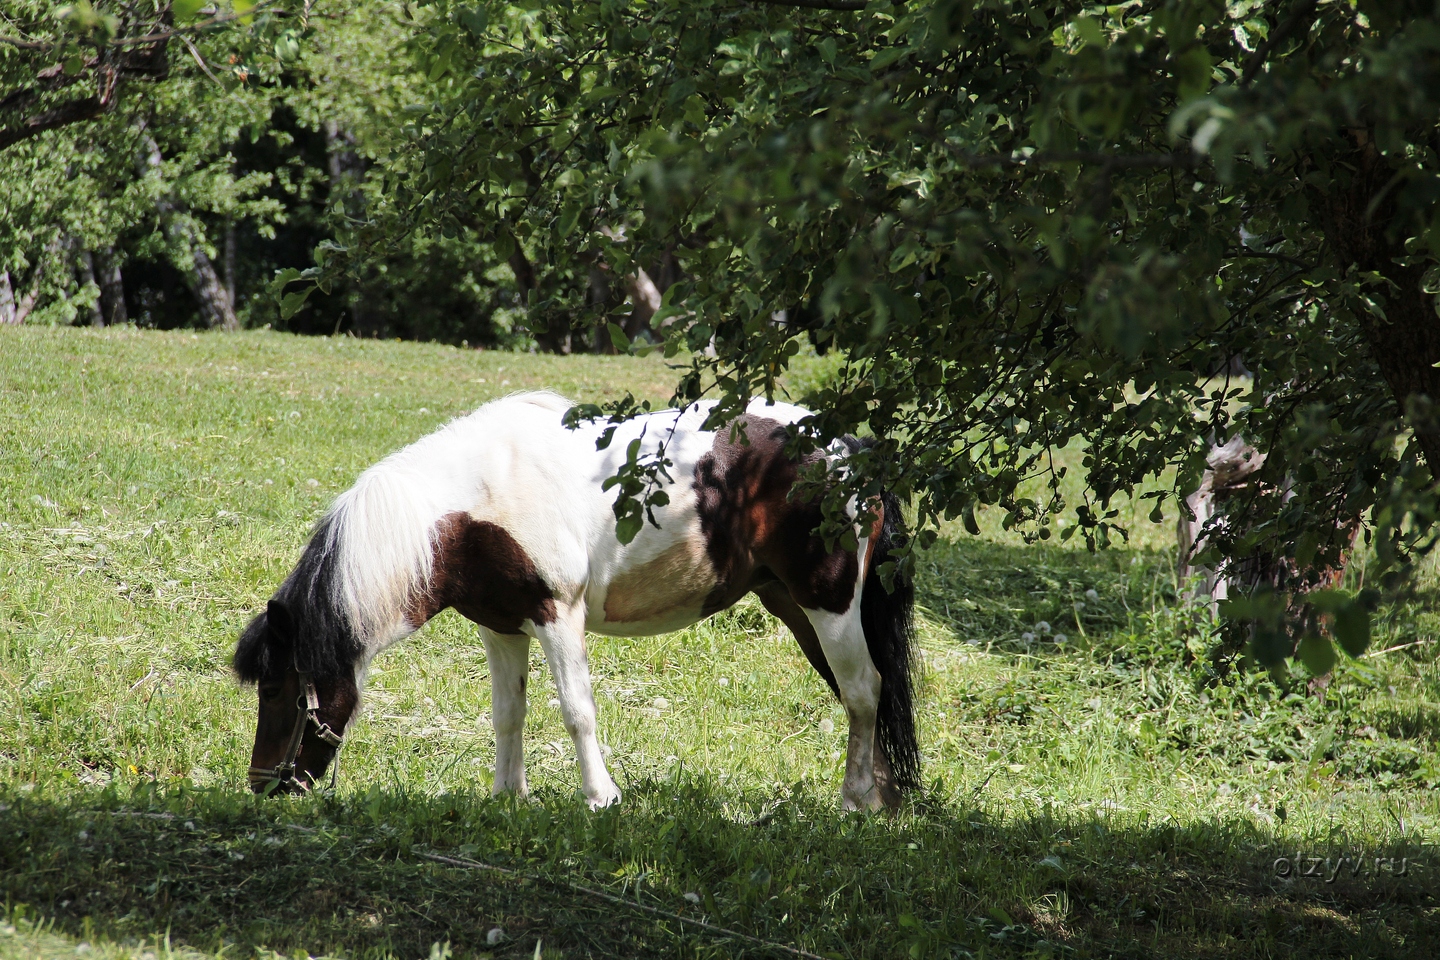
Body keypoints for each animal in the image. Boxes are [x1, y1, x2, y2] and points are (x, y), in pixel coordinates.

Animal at [230, 391, 915, 811]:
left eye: (278, 688)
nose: (262, 785)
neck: (475, 506)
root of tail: (850, 451)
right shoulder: (503, 628)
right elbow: (508, 714)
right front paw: (509, 796)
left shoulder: (558, 617)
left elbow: (576, 711)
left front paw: (599, 797)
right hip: (799, 609)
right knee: (865, 697)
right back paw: (881, 800)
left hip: (828, 603)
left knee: (863, 693)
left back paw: (854, 801)